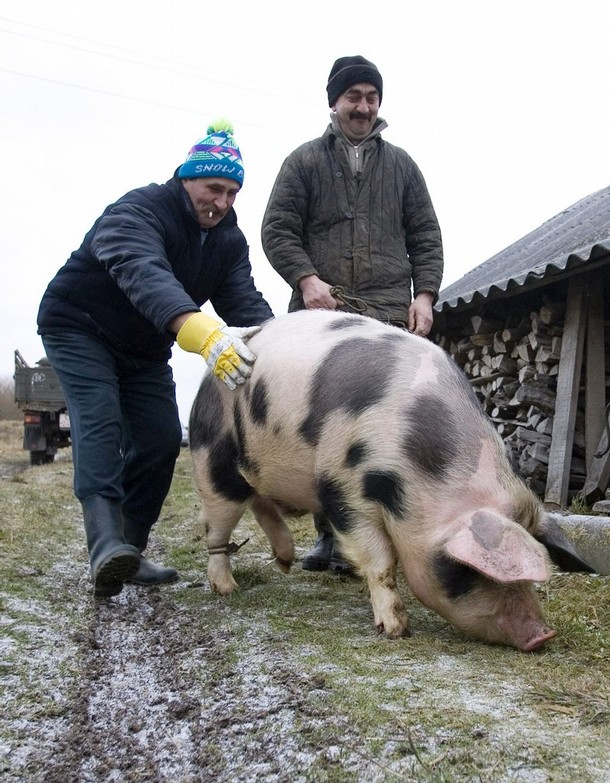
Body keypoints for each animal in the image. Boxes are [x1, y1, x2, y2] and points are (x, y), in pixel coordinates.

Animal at [188, 310, 592, 652]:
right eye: (467, 570)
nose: (543, 635)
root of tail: (206, 381)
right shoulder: (341, 487)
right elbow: (380, 561)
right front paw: (397, 630)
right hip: (213, 459)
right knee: (217, 528)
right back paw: (228, 589)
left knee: (260, 503)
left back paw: (286, 563)